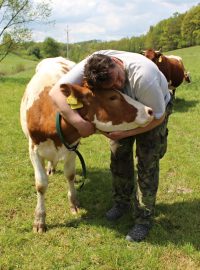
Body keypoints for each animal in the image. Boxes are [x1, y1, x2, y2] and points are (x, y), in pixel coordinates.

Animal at [19, 56, 153, 232]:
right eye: (112, 97)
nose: (150, 110)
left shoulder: (72, 147)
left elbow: (69, 175)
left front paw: (74, 203)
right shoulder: (33, 150)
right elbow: (41, 184)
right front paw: (39, 220)